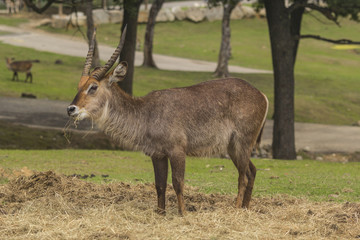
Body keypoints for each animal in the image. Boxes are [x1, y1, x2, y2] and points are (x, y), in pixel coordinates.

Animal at [67, 28, 268, 216]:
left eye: (93, 87)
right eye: (79, 86)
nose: (71, 109)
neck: (146, 113)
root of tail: (262, 94)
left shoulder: (177, 150)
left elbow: (178, 182)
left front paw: (183, 213)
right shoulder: (157, 154)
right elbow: (160, 185)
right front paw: (160, 213)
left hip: (242, 142)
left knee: (243, 176)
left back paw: (236, 209)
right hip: (233, 147)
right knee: (252, 171)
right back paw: (246, 208)